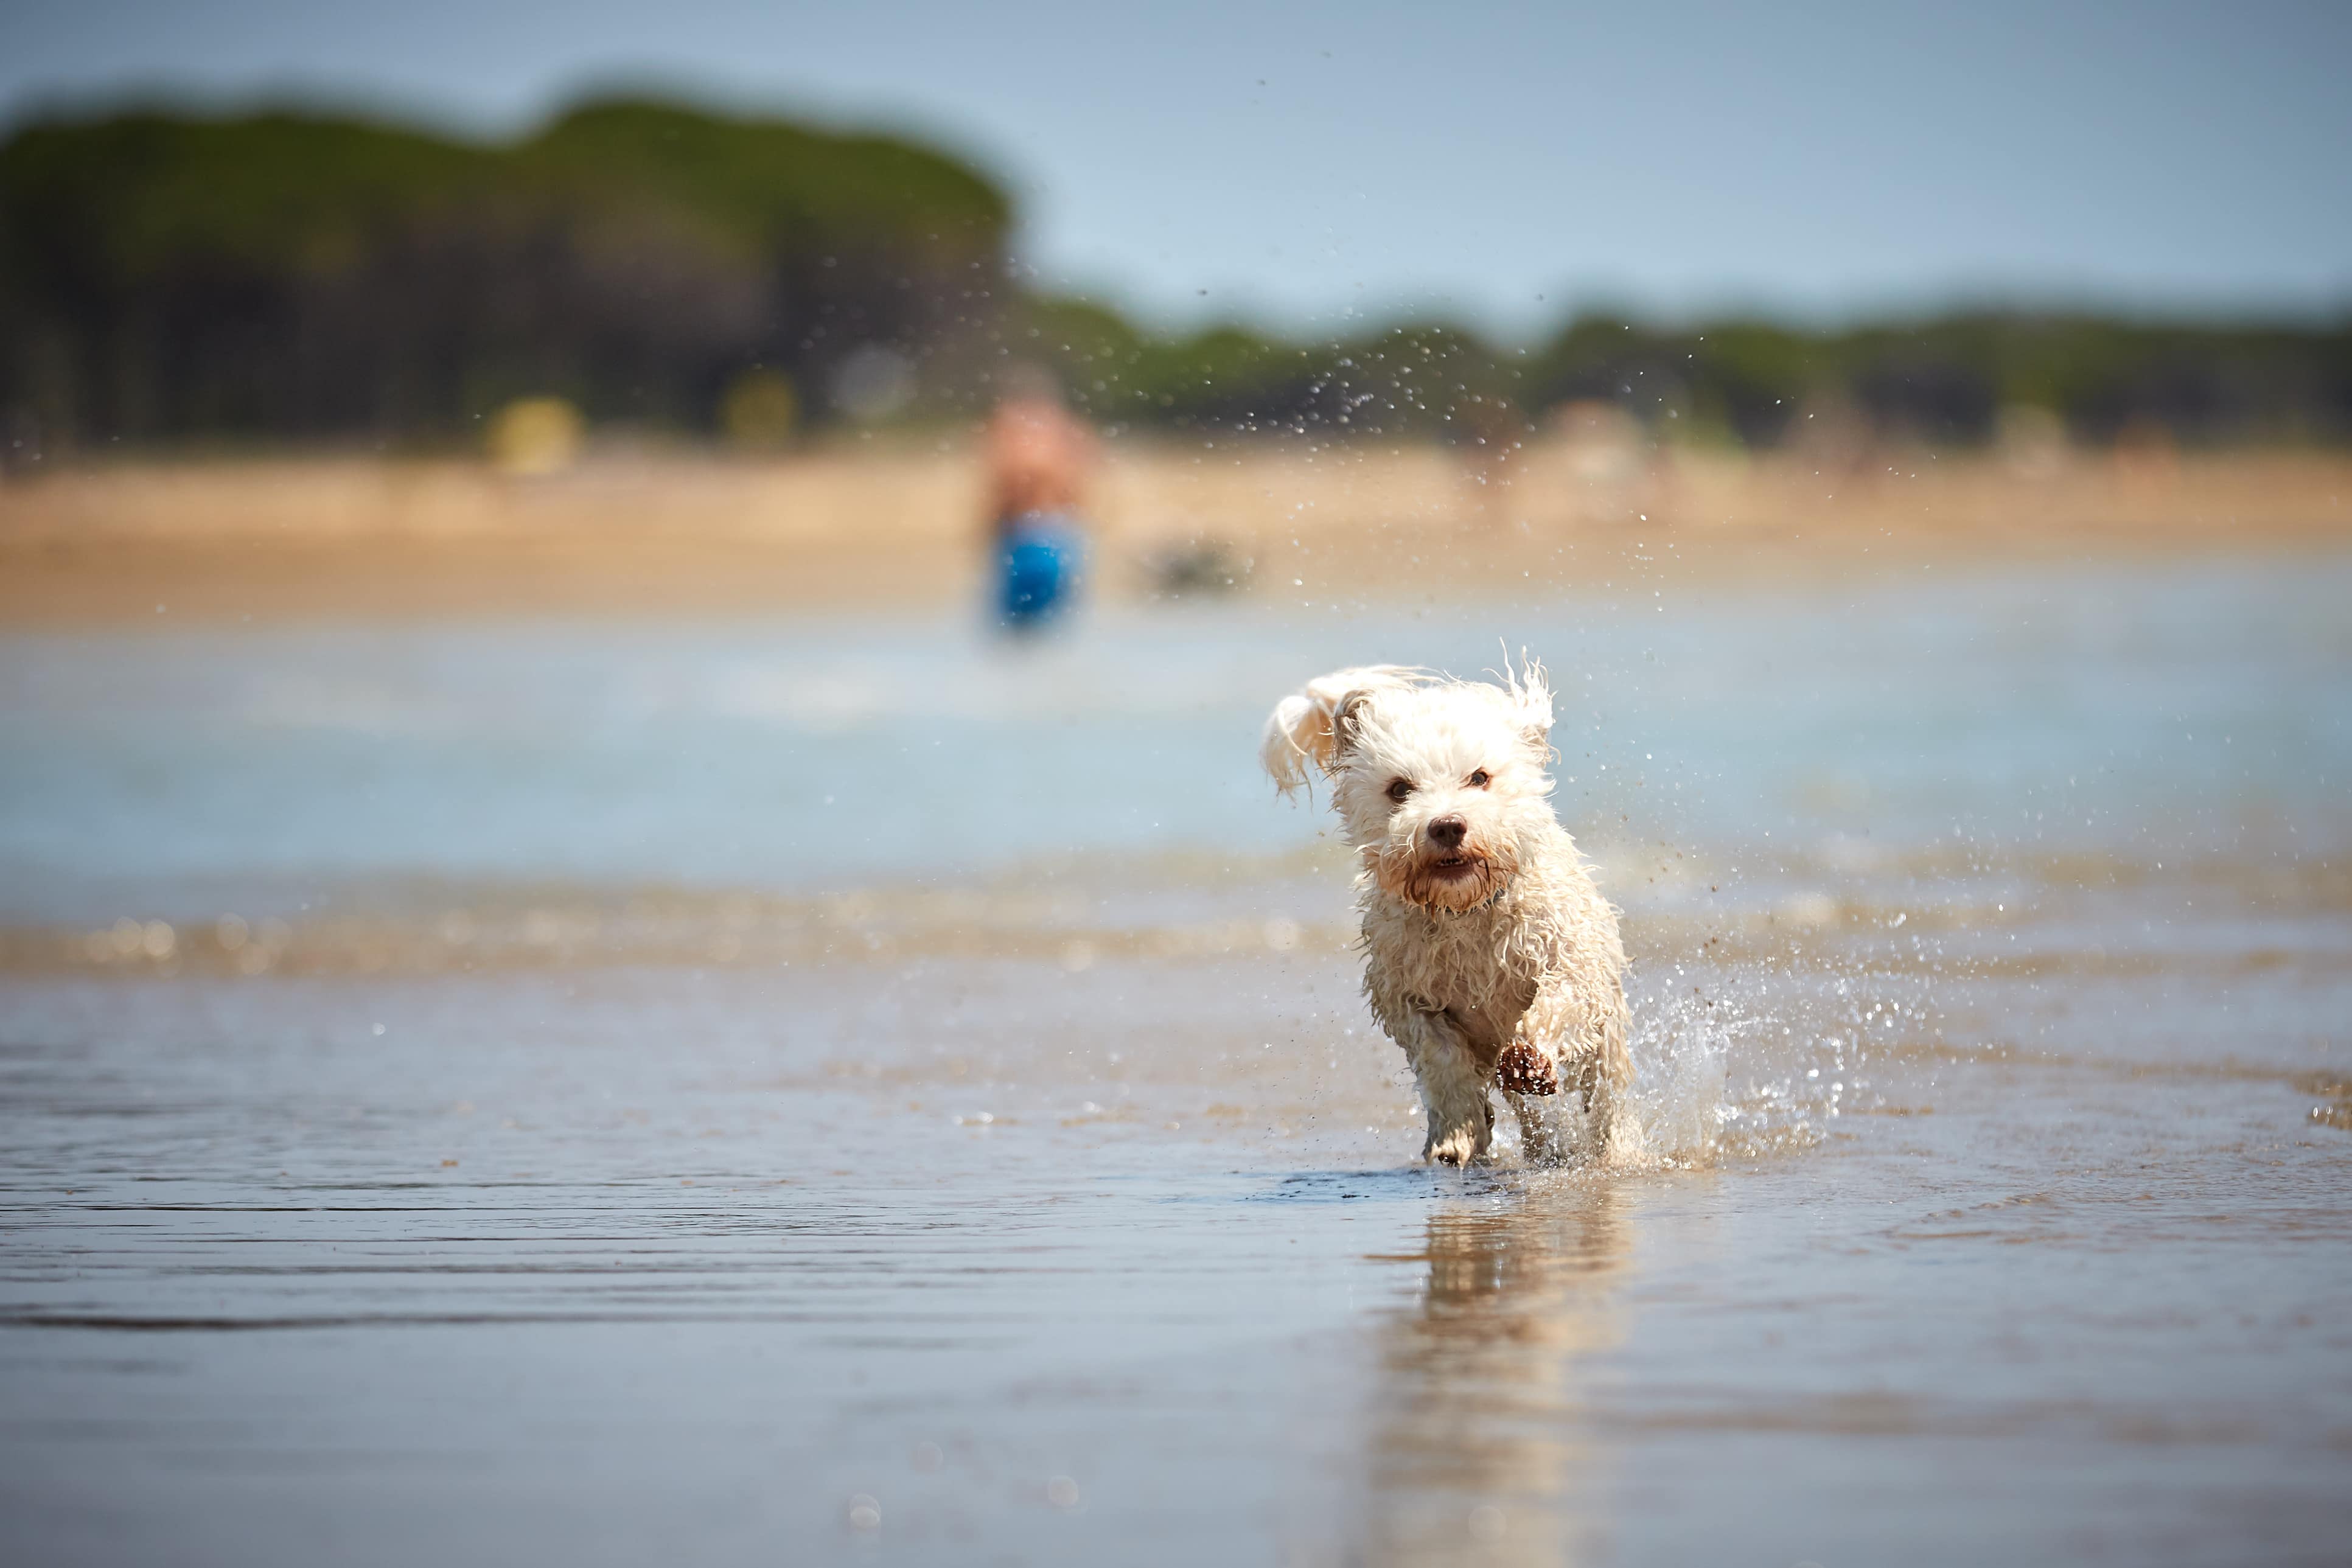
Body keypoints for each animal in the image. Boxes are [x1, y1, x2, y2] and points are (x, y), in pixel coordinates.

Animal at [1270, 663, 1637, 1166]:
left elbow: (1558, 999)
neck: (1464, 909)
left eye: (1479, 777)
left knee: (1604, 1098)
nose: (1446, 826)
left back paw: (1615, 1151)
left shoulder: (1571, 960)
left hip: (1605, 1043)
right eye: (1399, 789)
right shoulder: (1409, 998)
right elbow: (1441, 1058)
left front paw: (1529, 1058)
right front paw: (1457, 1134)